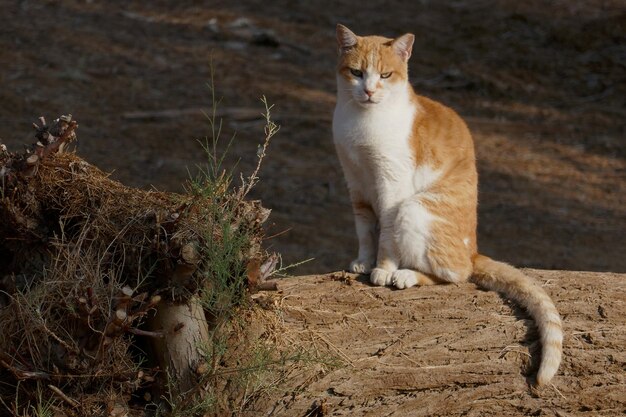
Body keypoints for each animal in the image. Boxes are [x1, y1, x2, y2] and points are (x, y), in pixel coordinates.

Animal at [332, 24, 560, 386]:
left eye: (385, 75)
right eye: (356, 73)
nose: (368, 91)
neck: (361, 121)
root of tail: (474, 251)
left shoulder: (391, 186)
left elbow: (387, 237)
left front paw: (382, 268)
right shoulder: (356, 184)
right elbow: (365, 231)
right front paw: (363, 261)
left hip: (414, 208)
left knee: (456, 275)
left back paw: (406, 276)